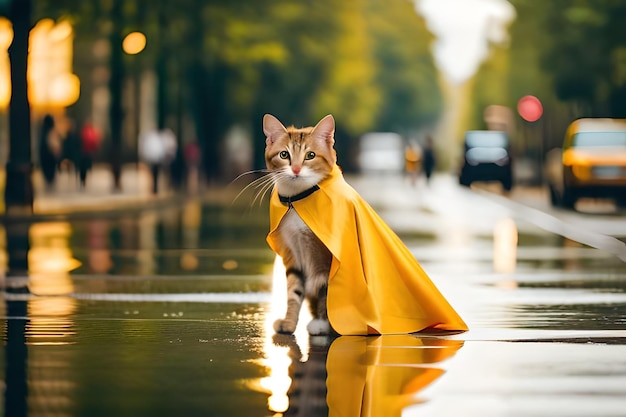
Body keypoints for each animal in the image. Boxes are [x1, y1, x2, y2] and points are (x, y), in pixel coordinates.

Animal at [260, 114, 336, 334]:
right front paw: (289, 323)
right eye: (284, 154)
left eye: (310, 155)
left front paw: (322, 323)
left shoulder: (330, 256)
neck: (298, 201)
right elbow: (294, 291)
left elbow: (326, 289)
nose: (295, 169)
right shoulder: (292, 252)